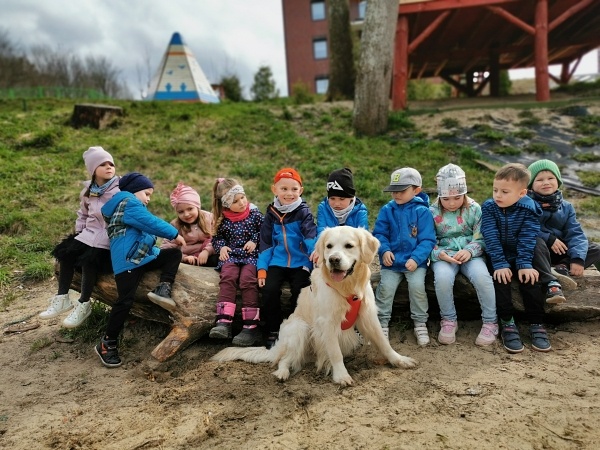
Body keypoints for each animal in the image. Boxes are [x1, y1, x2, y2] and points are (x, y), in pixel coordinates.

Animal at [211, 227, 418, 384]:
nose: (333, 259)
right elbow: (335, 353)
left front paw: (399, 360)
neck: (347, 289)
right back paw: (282, 373)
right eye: (329, 246)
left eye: (349, 246)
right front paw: (341, 375)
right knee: (284, 359)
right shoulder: (327, 323)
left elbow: (383, 342)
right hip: (299, 328)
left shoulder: (368, 316)